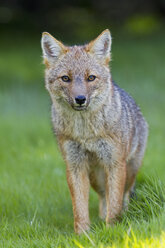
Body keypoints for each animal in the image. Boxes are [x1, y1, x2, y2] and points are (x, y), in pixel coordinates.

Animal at [41, 29, 148, 234]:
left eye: (91, 78)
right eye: (65, 78)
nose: (80, 99)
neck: (85, 133)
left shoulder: (115, 163)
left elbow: (115, 203)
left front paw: (112, 230)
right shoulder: (75, 165)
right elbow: (80, 207)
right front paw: (83, 235)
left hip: (129, 170)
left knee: (124, 195)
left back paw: (124, 215)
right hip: (95, 176)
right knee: (103, 197)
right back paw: (100, 218)